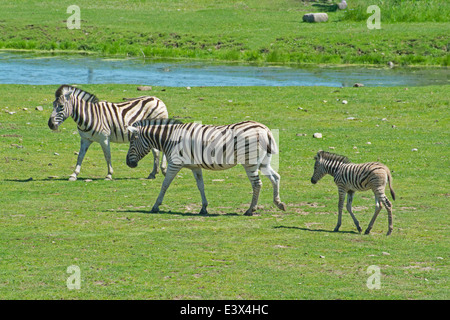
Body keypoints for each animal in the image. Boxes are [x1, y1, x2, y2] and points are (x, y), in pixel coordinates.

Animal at [125, 119, 286, 216]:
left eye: (132, 143)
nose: (128, 164)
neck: (170, 138)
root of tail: (265, 129)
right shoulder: (195, 166)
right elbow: (200, 186)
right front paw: (203, 208)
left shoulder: (175, 164)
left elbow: (165, 185)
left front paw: (156, 206)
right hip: (264, 161)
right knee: (275, 177)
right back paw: (279, 203)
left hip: (249, 161)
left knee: (257, 184)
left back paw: (250, 210)